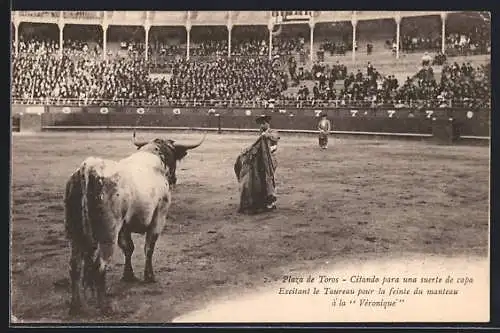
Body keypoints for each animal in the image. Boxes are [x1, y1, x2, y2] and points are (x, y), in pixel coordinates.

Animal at [64, 130, 205, 314]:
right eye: (173, 156)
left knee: (74, 266)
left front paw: (128, 275)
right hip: (108, 234)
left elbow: (128, 248)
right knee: (99, 267)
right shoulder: (159, 217)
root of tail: (89, 167)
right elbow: (148, 248)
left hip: (75, 233)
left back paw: (77, 306)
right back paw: (105, 306)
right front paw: (149, 276)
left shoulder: (125, 226)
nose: (174, 179)